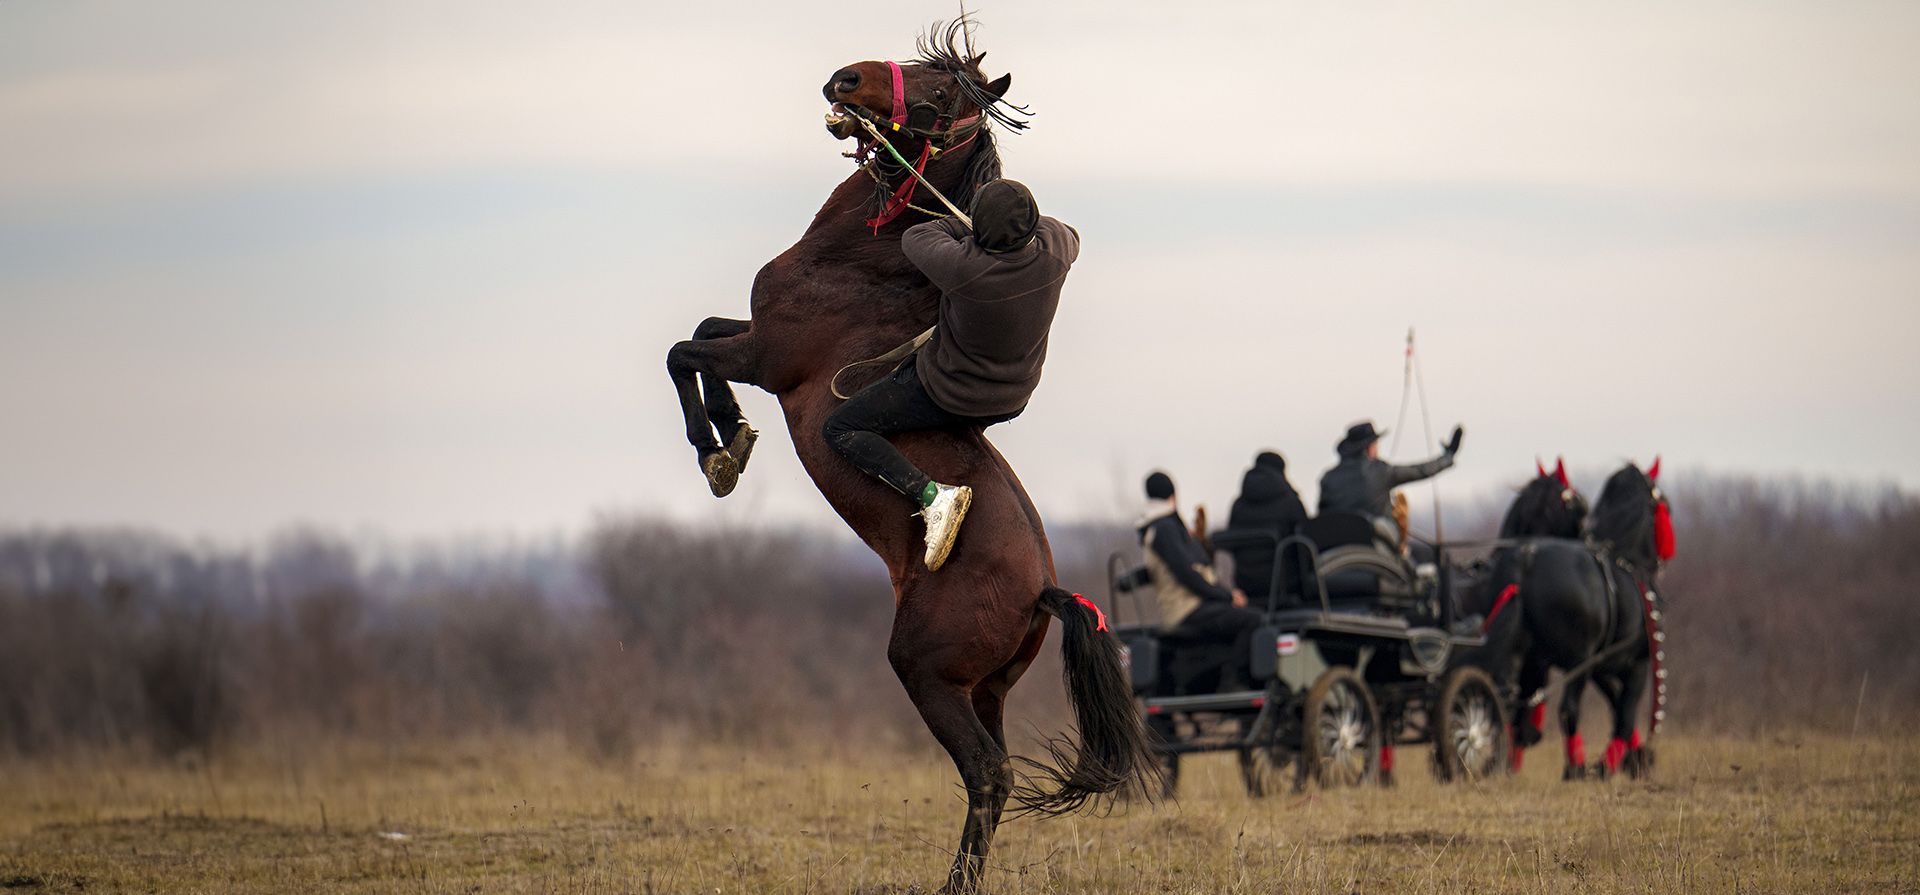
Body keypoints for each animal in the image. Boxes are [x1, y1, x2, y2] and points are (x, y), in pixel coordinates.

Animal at [662, 20, 1158, 891]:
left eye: (936, 93)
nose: (844, 78)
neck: (865, 265)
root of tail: (1045, 590)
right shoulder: (751, 337)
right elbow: (700, 328)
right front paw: (732, 435)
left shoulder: (767, 356)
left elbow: (684, 351)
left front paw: (718, 448)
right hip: (986, 689)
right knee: (994, 772)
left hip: (926, 673)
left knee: (988, 772)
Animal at [1489, 461, 1675, 779]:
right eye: (1661, 500)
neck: (1629, 561)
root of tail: (1527, 559)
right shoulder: (1634, 664)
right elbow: (1624, 713)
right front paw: (1614, 763)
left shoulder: (1599, 666)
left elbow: (1615, 705)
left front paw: (1632, 757)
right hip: (1577, 660)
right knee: (1567, 709)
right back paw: (1574, 767)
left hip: (1523, 656)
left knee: (1507, 703)